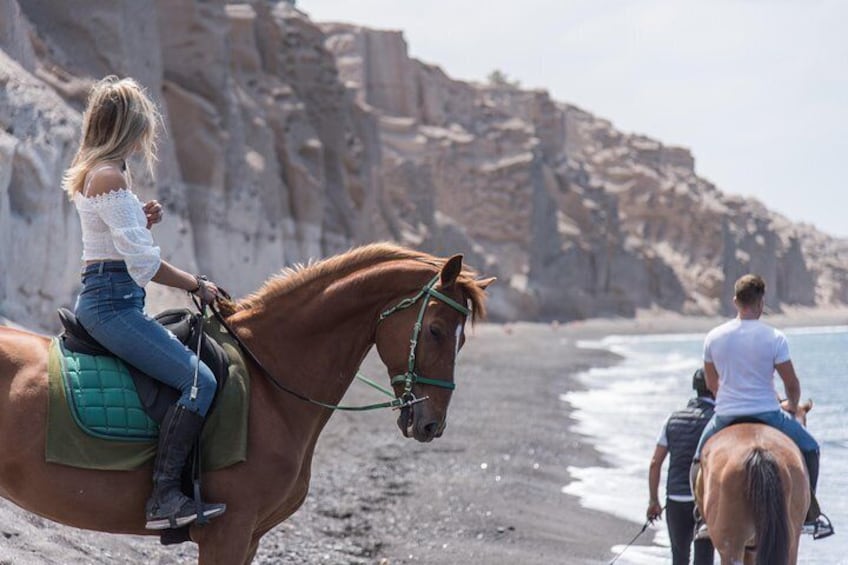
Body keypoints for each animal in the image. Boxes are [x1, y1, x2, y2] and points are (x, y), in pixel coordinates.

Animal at [0, 245, 490, 564]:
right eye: (436, 331)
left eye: (463, 338)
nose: (431, 424)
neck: (271, 383)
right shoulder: (228, 532)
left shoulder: (249, 537)